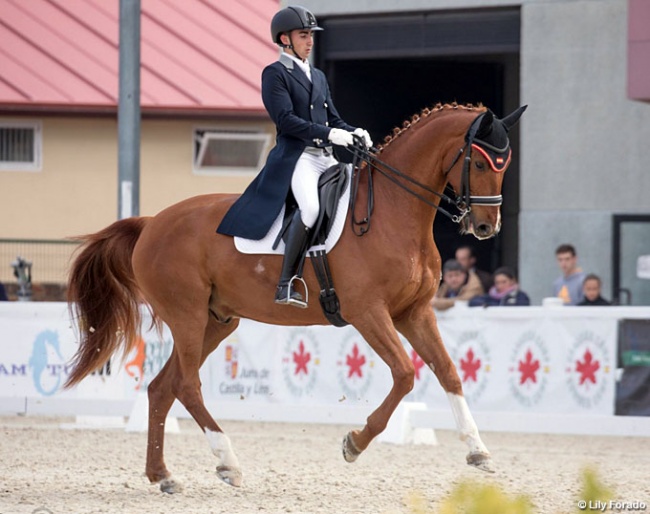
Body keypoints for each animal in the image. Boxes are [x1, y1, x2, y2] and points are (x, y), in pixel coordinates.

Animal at [63, 102, 524, 490]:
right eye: (478, 162)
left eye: (506, 165)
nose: (486, 227)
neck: (395, 212)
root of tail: (152, 222)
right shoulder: (368, 312)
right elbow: (405, 374)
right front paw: (354, 443)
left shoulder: (415, 312)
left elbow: (448, 372)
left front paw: (478, 451)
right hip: (187, 315)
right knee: (187, 384)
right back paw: (228, 462)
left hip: (217, 320)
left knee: (163, 387)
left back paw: (162, 475)